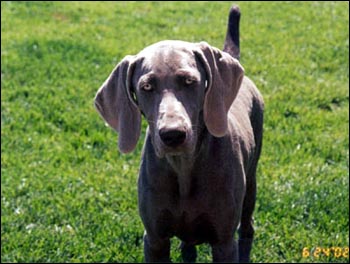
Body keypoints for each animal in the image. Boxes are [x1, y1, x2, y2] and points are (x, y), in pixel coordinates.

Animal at [94, 5, 264, 262]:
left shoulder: (223, 242)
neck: (183, 167)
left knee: (247, 226)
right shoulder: (155, 239)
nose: (173, 135)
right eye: (146, 87)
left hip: (251, 184)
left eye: (189, 81)